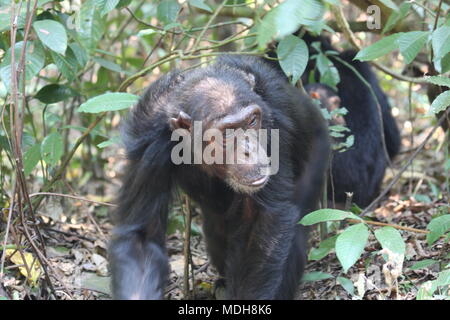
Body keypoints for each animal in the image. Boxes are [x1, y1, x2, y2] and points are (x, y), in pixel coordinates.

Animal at [109, 55, 330, 300]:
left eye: (251, 122)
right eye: (227, 132)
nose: (249, 149)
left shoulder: (275, 128)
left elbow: (261, 224)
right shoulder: (148, 140)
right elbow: (141, 235)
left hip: (319, 145)